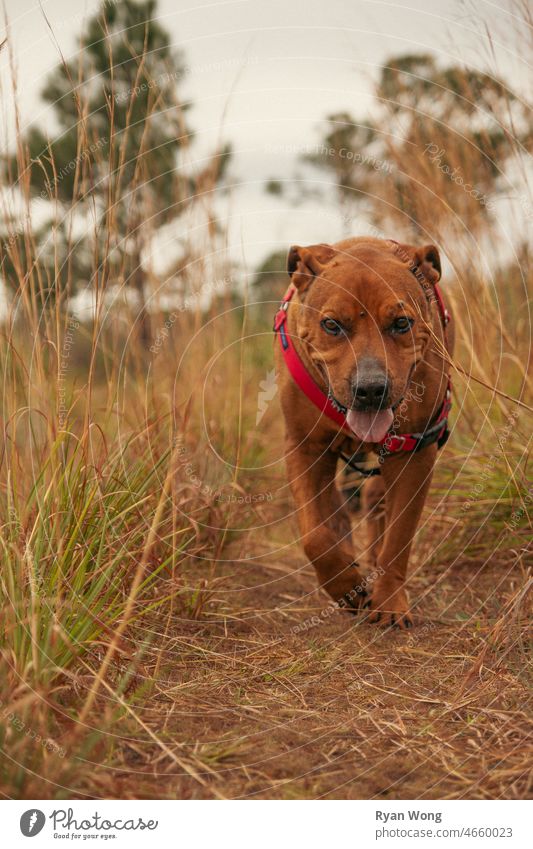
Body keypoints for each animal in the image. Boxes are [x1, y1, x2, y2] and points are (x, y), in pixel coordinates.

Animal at [274, 235, 454, 628]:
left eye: (401, 323)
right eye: (331, 325)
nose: (371, 389)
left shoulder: (414, 451)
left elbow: (399, 537)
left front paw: (389, 603)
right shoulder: (304, 448)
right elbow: (315, 536)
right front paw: (345, 585)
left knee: (376, 501)